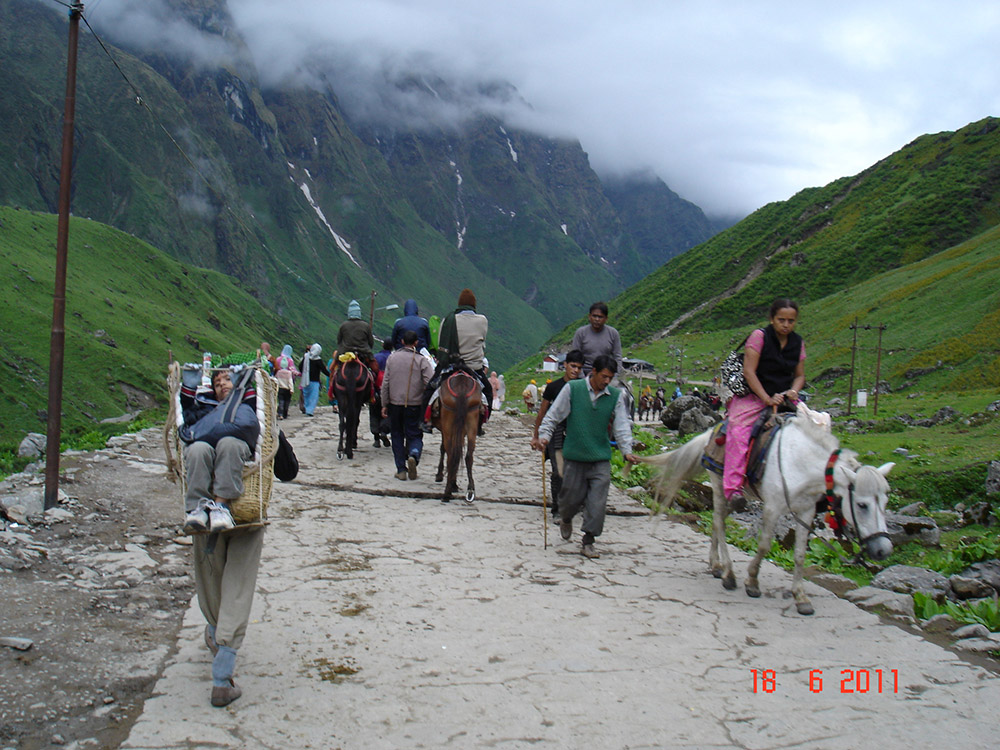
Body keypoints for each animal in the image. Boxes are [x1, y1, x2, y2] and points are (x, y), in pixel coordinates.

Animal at [432, 372, 482, 506]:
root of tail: (461, 384)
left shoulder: (445, 430)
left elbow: (443, 449)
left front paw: (440, 475)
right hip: (472, 421)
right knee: (468, 456)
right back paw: (470, 490)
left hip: (449, 424)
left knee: (451, 455)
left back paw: (447, 493)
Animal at [644, 406, 896, 616]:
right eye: (862, 504)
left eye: (885, 502)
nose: (883, 549)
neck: (801, 463)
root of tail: (711, 433)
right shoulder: (773, 507)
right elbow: (764, 544)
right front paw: (752, 582)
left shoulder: (806, 512)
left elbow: (800, 554)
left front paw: (801, 597)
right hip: (718, 483)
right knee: (719, 521)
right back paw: (729, 575)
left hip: (737, 497)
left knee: (718, 520)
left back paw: (716, 566)